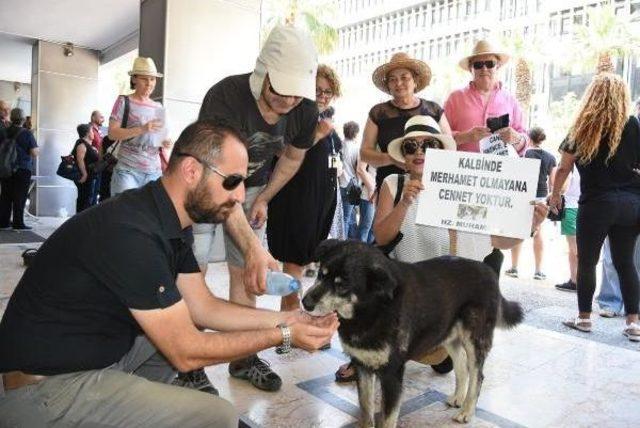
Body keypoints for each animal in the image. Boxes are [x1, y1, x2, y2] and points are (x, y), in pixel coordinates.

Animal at [302, 239, 524, 426]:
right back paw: (457, 398)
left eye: (342, 285)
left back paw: (467, 411)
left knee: (478, 376)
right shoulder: (362, 366)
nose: (305, 303)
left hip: (474, 340)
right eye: (321, 274)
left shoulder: (392, 374)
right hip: (448, 336)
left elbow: (387, 419)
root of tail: (489, 271)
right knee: (462, 367)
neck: (371, 309)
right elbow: (366, 411)